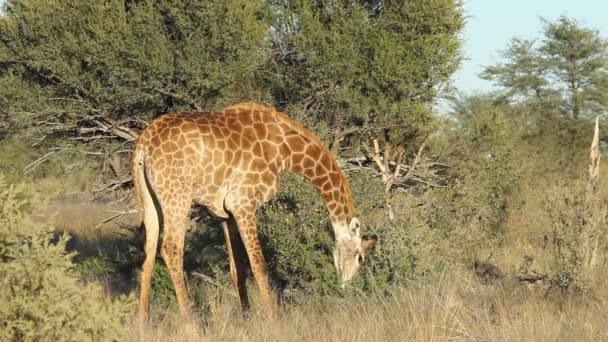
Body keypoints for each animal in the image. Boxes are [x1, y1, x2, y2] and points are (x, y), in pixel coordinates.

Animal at [132, 102, 376, 328]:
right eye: (360, 257)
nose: (346, 287)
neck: (285, 150)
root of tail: (143, 144)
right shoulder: (243, 202)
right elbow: (259, 265)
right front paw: (275, 322)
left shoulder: (226, 213)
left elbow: (237, 270)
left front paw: (248, 320)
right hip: (177, 196)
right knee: (171, 249)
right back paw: (191, 327)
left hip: (150, 199)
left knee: (148, 252)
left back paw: (143, 327)